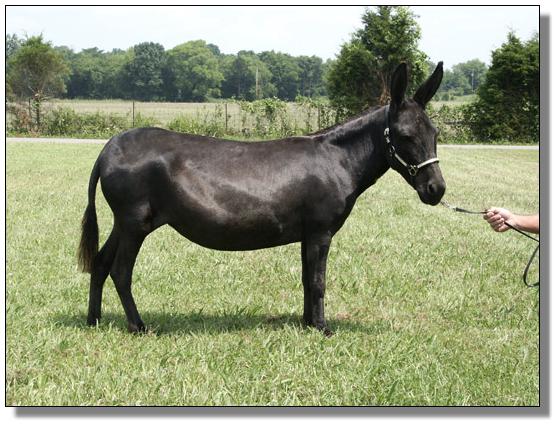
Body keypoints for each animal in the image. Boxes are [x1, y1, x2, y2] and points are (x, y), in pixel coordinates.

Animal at [78, 62, 445, 336]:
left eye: (436, 134)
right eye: (405, 136)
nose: (437, 190)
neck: (337, 158)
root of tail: (108, 148)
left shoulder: (308, 233)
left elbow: (306, 280)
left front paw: (307, 324)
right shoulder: (321, 231)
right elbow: (318, 281)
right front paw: (323, 329)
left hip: (125, 222)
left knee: (100, 262)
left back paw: (93, 320)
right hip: (135, 223)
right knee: (120, 271)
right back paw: (138, 326)